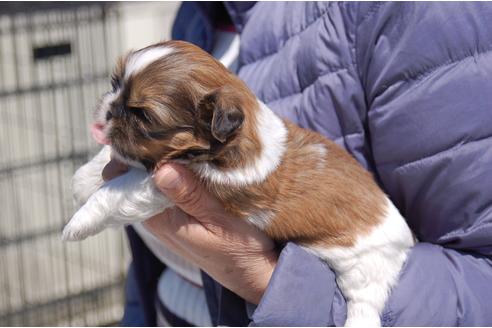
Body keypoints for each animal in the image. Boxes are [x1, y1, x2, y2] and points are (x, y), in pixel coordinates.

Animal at [62, 40, 416, 326]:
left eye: (142, 115)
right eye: (115, 84)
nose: (110, 111)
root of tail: (405, 234)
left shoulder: (171, 181)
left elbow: (117, 190)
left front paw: (77, 223)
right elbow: (112, 159)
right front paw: (83, 177)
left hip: (365, 267)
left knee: (365, 305)